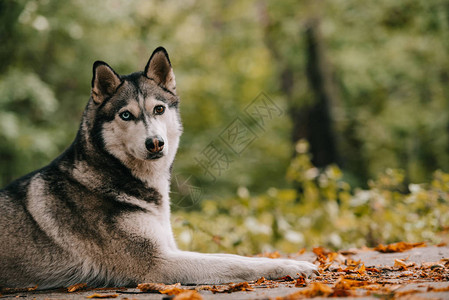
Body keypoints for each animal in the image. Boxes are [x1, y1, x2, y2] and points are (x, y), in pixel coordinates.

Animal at [0, 47, 316, 288]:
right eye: (126, 115)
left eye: (159, 109)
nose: (155, 143)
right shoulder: (159, 264)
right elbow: (234, 264)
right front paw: (293, 266)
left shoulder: (170, 249)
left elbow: (236, 257)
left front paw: (289, 262)